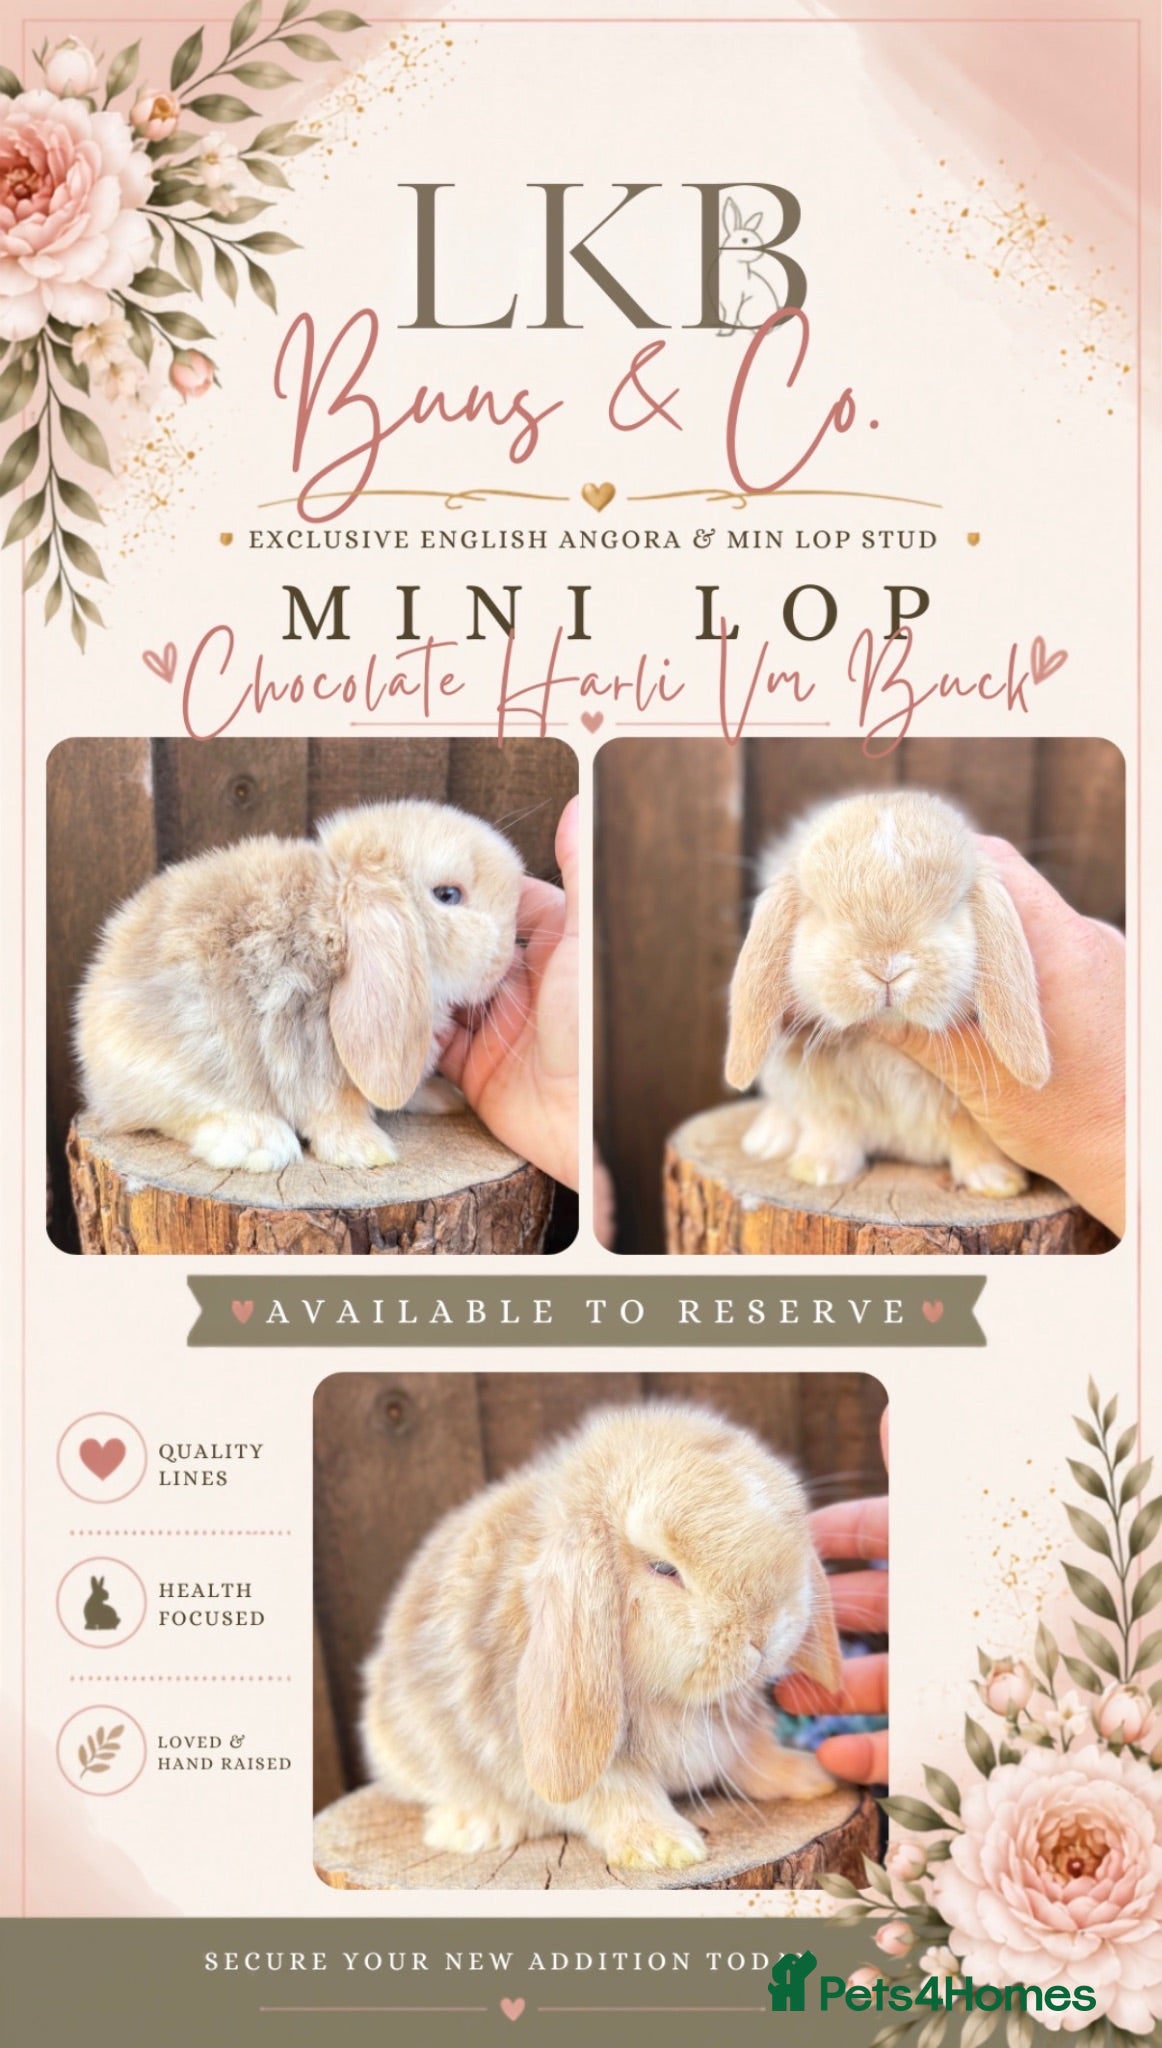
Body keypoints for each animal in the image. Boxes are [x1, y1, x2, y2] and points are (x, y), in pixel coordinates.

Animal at [75, 800, 524, 1174]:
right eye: (448, 895)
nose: (510, 952)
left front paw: (442, 1096)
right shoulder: (315, 1058)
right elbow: (337, 1112)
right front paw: (366, 1151)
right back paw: (258, 1143)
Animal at [361, 1403, 843, 1873]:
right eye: (663, 1568)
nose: (765, 1631)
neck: (672, 1701)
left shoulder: (736, 1733)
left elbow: (752, 1755)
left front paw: (808, 1777)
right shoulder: (575, 1761)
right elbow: (618, 1797)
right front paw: (663, 1848)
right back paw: (474, 1827)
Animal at [717, 196, 784, 333]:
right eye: (744, 240)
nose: (762, 250)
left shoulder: (734, 301)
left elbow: (730, 317)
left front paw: (725, 333)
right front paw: (721, 331)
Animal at [725, 790, 1051, 1195]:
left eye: (952, 907)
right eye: (819, 911)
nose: (886, 968)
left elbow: (973, 1141)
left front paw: (995, 1180)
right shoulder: (825, 1104)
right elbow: (831, 1130)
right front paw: (817, 1170)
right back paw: (767, 1139)